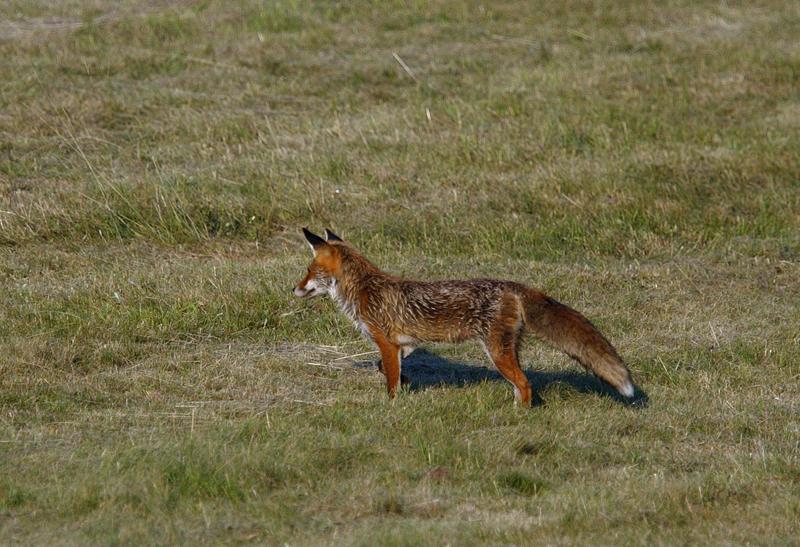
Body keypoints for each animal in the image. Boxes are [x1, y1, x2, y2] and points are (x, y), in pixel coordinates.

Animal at [294, 228, 636, 406]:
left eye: (309, 271)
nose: (294, 289)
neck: (364, 288)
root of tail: (513, 285)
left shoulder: (386, 342)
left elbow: (389, 379)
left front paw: (392, 404)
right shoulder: (405, 345)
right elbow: (387, 369)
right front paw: (407, 384)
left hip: (497, 352)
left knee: (525, 384)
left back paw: (520, 416)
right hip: (506, 351)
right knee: (521, 384)